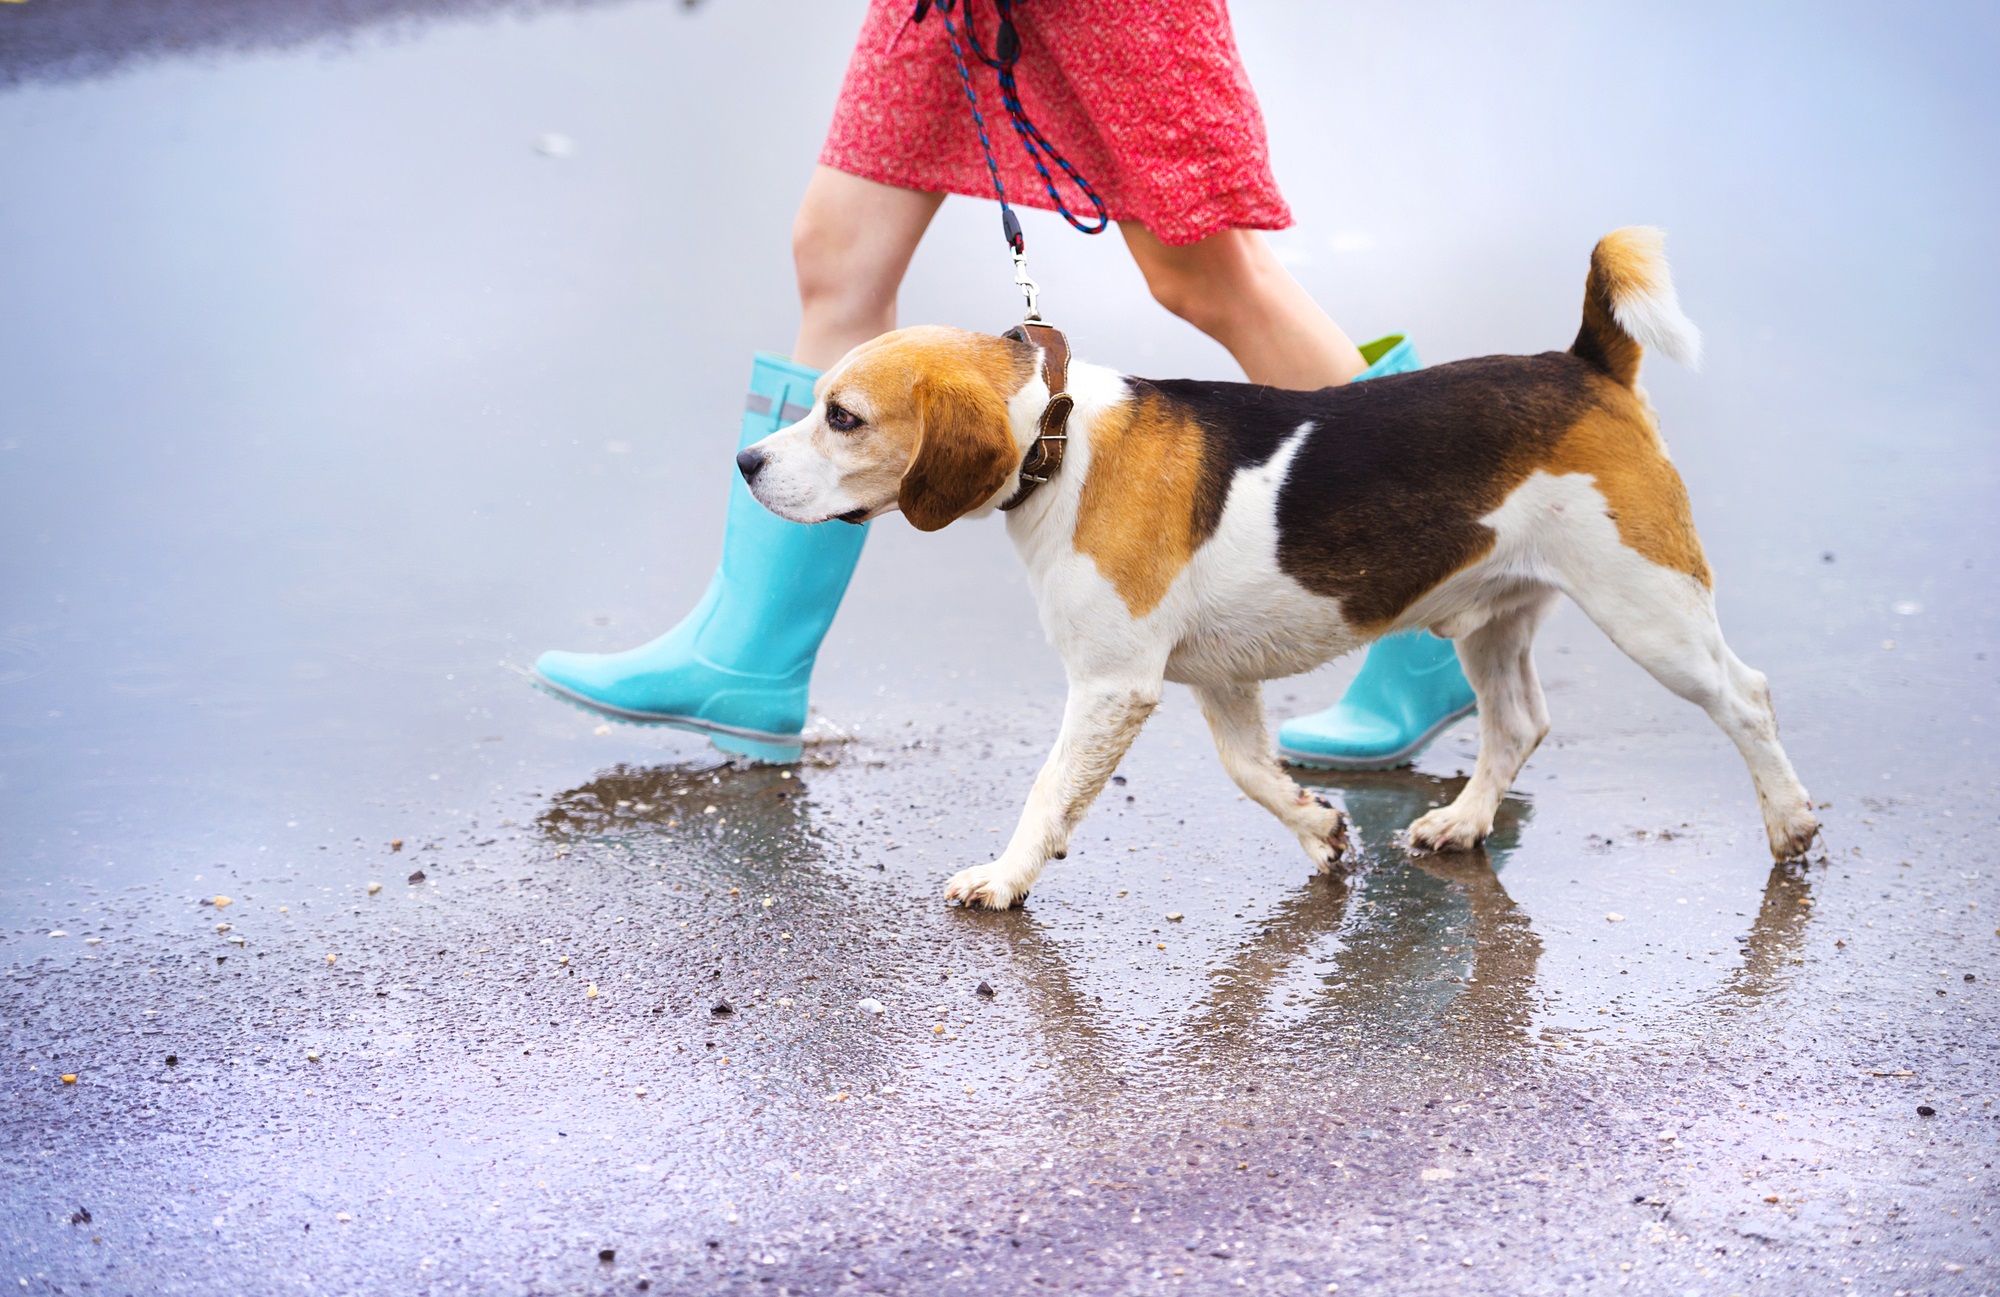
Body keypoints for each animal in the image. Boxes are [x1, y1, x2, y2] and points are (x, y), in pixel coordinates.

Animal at [744, 228, 1824, 908]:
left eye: (842, 417)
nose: (746, 462)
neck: (1054, 432)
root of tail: (1584, 362)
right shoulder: (1218, 679)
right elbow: (1251, 772)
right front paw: (1318, 829)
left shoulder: (1112, 684)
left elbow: (1049, 791)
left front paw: (1003, 879)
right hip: (1493, 615)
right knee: (1517, 722)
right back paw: (1462, 822)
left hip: (1649, 606)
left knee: (1748, 697)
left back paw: (1788, 823)